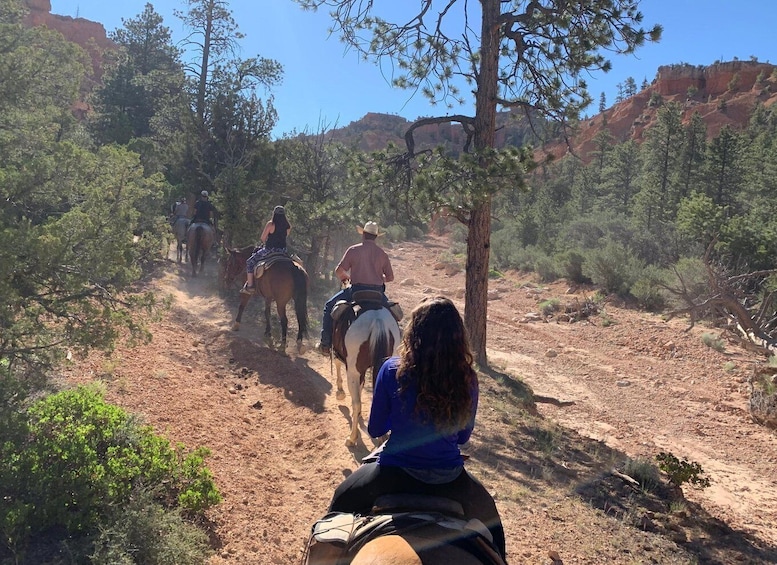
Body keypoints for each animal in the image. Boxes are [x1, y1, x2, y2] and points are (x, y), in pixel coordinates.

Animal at [332, 302, 400, 448]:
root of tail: (378, 320)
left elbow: (337, 363)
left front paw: (340, 392)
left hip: (352, 371)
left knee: (356, 402)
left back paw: (352, 438)